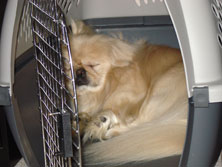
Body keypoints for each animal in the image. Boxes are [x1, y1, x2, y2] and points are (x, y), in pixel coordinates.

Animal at [63, 21, 188, 167]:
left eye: (93, 65)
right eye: (69, 68)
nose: (79, 72)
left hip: (161, 89)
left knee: (141, 125)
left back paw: (104, 126)